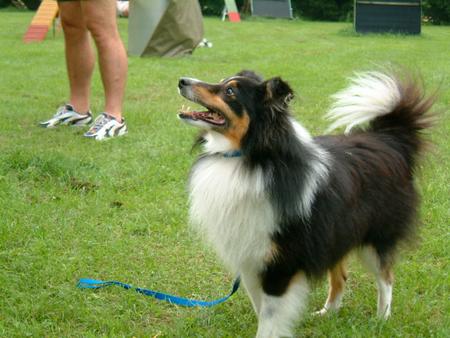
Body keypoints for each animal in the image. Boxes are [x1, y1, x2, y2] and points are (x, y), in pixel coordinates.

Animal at [178, 69, 434, 338]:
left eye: (230, 92)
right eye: (222, 82)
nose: (182, 81)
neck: (250, 157)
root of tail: (389, 138)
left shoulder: (281, 264)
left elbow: (269, 320)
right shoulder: (250, 259)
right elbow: (262, 310)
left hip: (375, 237)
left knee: (386, 278)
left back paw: (382, 319)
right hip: (335, 232)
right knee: (341, 276)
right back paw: (328, 312)